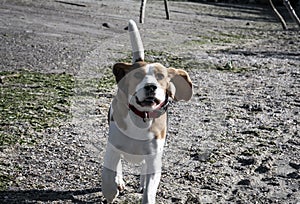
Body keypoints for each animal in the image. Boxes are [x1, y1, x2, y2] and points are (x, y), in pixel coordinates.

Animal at [102, 19, 193, 204]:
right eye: (137, 75)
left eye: (161, 76)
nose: (151, 86)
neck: (141, 118)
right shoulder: (113, 147)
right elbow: (109, 173)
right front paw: (111, 191)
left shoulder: (154, 158)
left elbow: (150, 190)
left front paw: (145, 189)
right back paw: (119, 182)